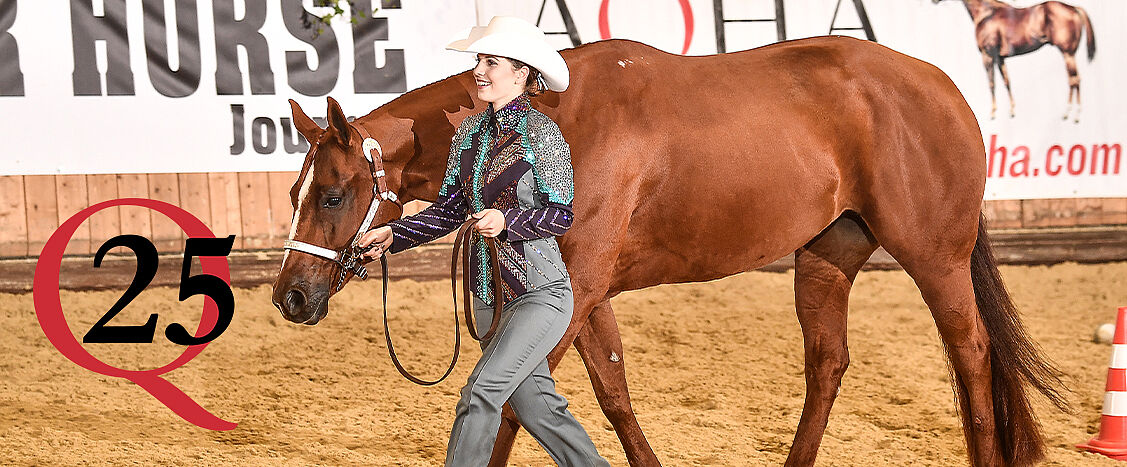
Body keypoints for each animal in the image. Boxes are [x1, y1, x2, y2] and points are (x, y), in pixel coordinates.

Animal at [271, 36, 1066, 466]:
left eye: (332, 194)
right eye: (295, 192)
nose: (291, 295)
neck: (559, 120)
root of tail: (941, 86)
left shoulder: (573, 289)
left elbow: (513, 409)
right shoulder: (583, 295)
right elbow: (610, 393)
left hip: (934, 255)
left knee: (970, 351)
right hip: (825, 255)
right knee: (828, 363)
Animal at [935, 0, 1096, 122]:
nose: (934, 1)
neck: (986, 14)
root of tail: (1073, 8)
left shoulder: (988, 55)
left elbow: (992, 84)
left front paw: (993, 112)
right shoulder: (1000, 58)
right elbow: (1007, 82)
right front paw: (1011, 110)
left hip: (1067, 53)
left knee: (1074, 80)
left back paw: (1072, 113)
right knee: (1074, 80)